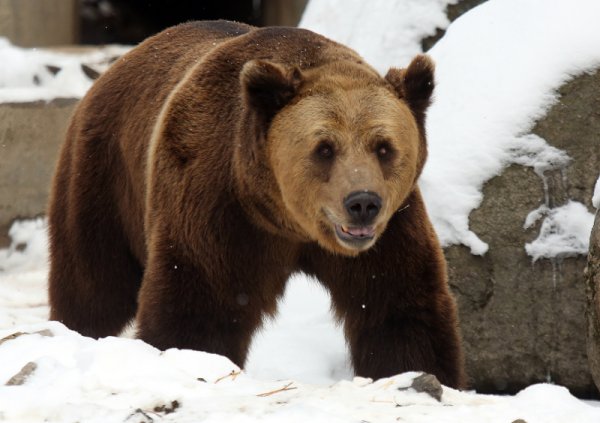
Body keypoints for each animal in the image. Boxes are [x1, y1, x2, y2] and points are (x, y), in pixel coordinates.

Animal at [49, 21, 466, 390]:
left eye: (384, 147)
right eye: (324, 148)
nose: (362, 203)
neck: (286, 220)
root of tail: (117, 64)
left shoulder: (392, 230)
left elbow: (399, 306)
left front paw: (413, 371)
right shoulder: (217, 203)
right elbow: (201, 301)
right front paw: (193, 358)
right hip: (104, 176)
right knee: (93, 282)